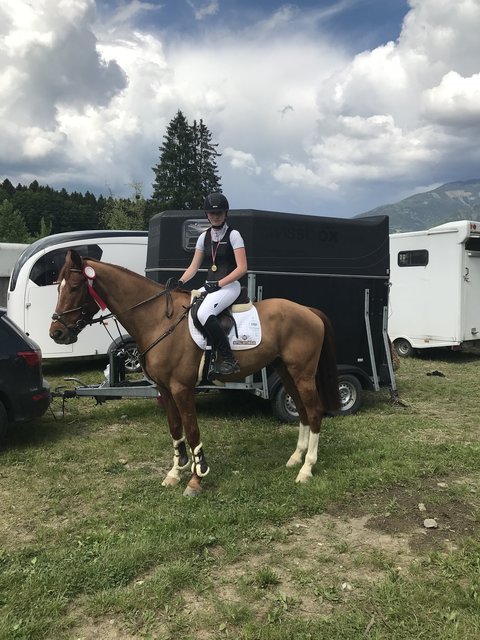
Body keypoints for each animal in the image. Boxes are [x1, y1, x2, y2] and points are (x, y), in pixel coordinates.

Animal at [50, 249, 340, 496]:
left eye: (74, 287)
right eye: (58, 287)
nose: (57, 333)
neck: (158, 319)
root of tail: (307, 310)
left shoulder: (182, 389)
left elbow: (191, 432)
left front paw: (195, 479)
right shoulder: (165, 390)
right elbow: (175, 430)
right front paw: (174, 472)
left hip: (303, 375)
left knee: (314, 412)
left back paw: (306, 469)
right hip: (287, 372)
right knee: (303, 412)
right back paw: (295, 459)